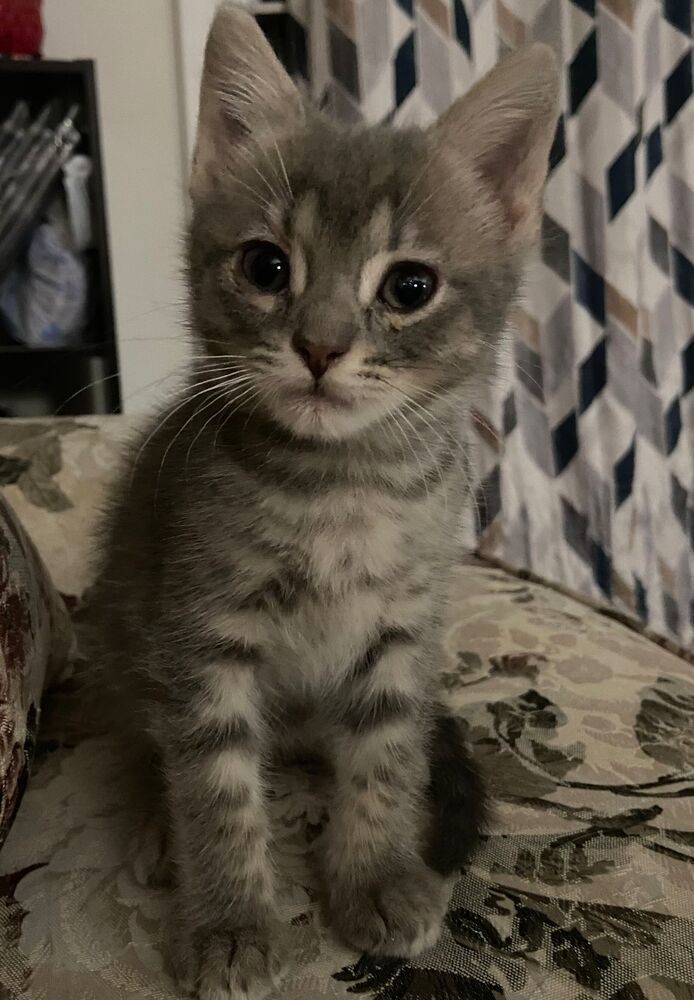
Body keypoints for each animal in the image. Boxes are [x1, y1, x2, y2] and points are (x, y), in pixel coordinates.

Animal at [89, 3, 564, 996]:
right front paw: (231, 922)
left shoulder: (402, 627)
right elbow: (216, 786)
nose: (319, 346)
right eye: (267, 266)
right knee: (148, 741)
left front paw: (375, 873)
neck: (341, 488)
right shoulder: (201, 634)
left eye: (410, 286)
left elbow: (384, 757)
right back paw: (159, 825)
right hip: (122, 636)